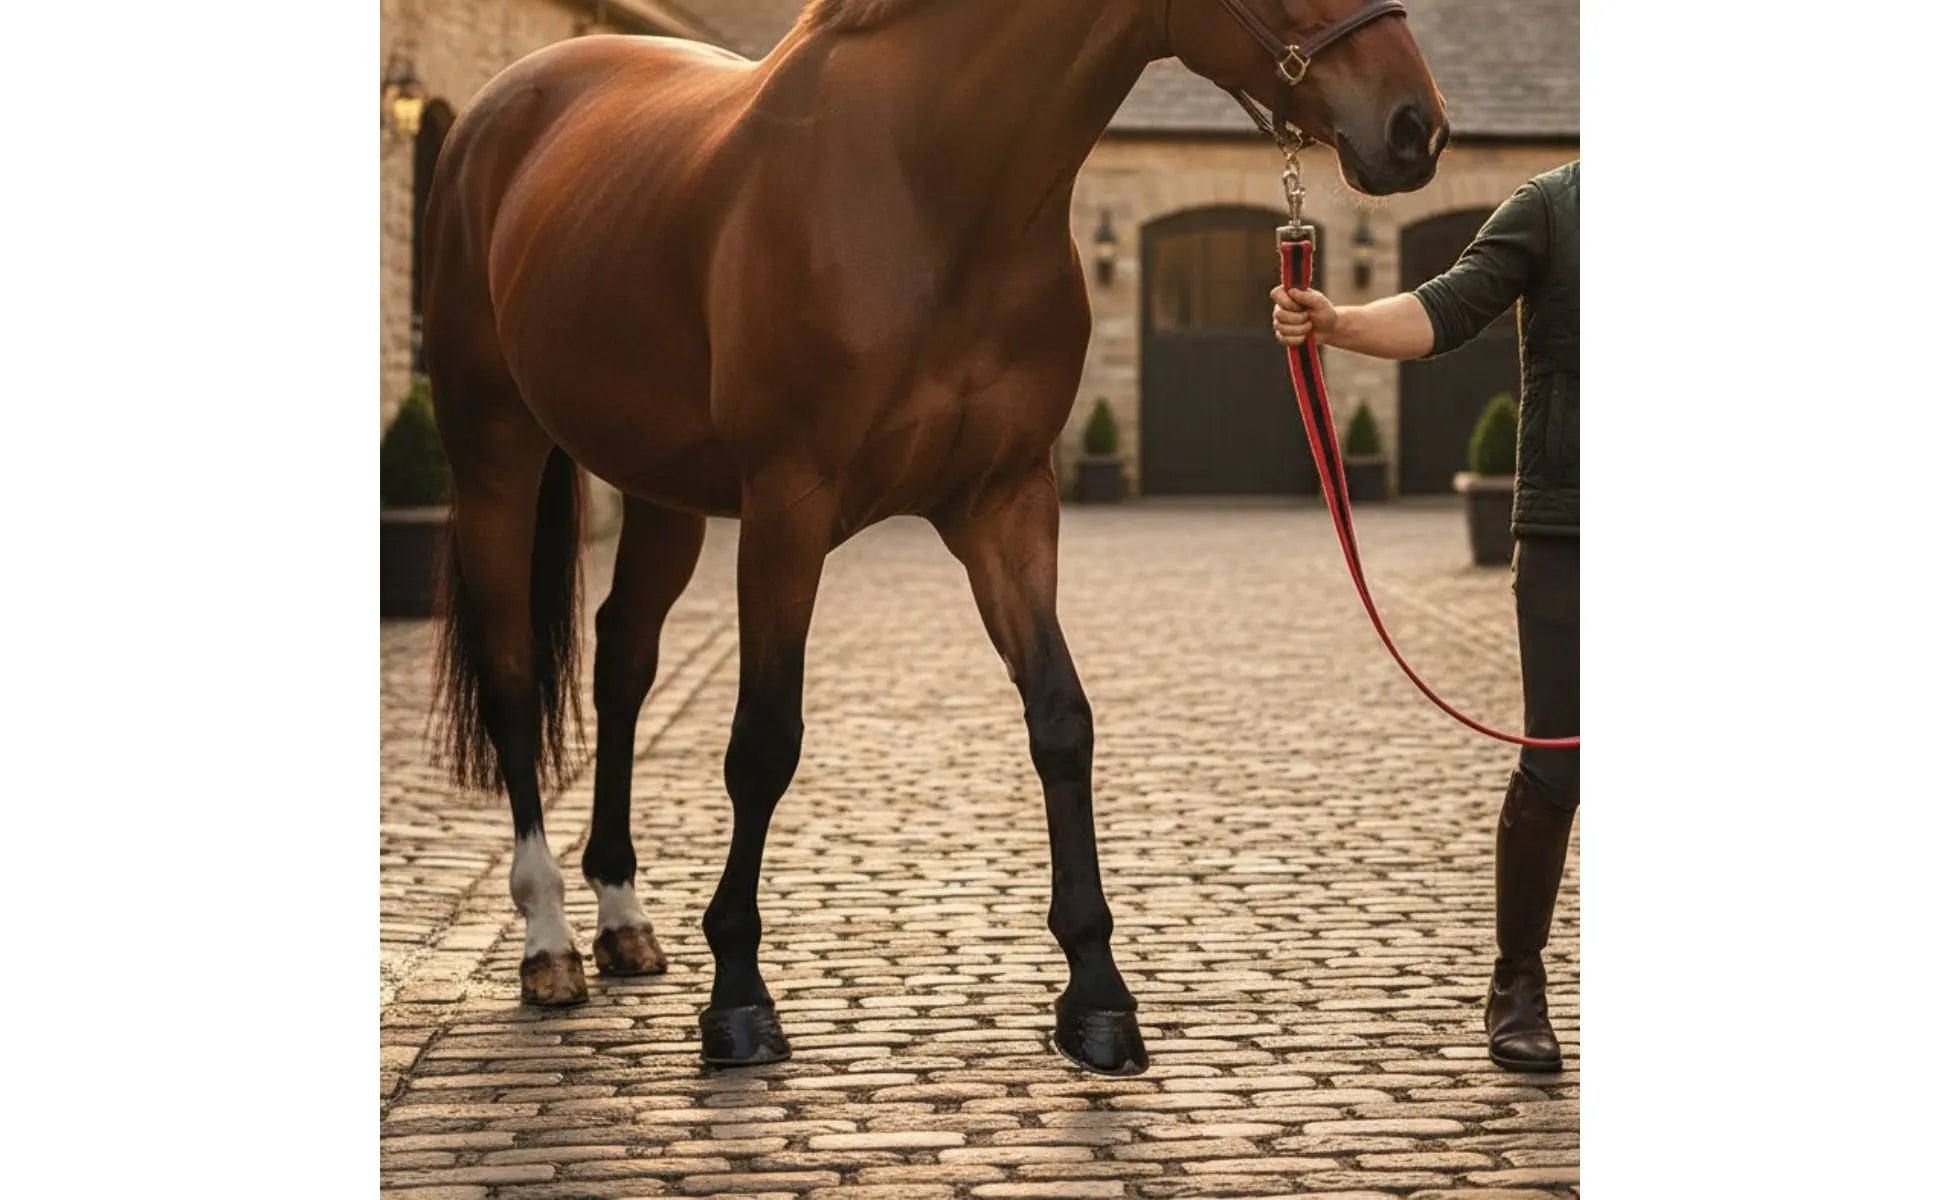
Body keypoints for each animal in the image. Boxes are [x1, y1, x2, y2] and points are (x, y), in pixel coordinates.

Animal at [421, 0, 1446, 1076]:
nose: (1414, 126)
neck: (931, 188)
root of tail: (501, 108)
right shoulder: (787, 510)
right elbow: (763, 743)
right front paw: (738, 997)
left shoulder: (1006, 505)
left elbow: (1060, 721)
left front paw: (1097, 997)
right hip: (496, 452)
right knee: (511, 673)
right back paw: (548, 941)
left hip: (661, 488)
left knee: (622, 657)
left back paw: (622, 919)